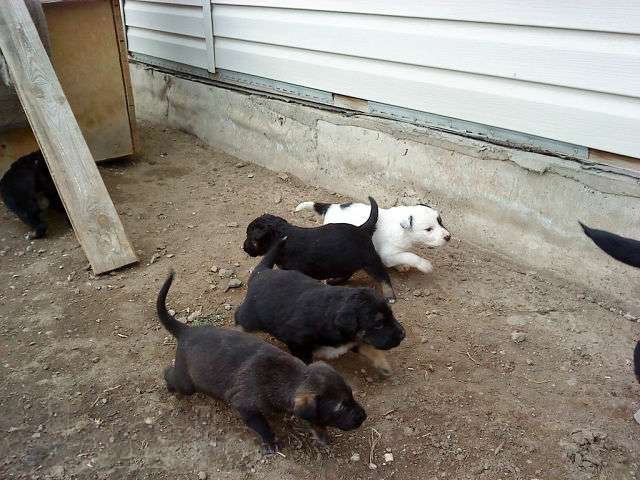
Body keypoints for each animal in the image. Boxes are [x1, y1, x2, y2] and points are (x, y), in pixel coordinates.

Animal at [158, 272, 368, 452]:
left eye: (351, 395)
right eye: (340, 407)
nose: (364, 416)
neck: (290, 377)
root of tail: (187, 331)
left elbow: (313, 420)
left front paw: (321, 434)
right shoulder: (244, 406)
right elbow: (262, 425)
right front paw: (271, 441)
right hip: (187, 383)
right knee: (170, 374)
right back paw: (169, 385)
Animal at [235, 238, 404, 376]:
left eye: (391, 315)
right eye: (378, 324)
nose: (403, 334)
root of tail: (261, 272)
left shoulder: (354, 338)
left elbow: (369, 348)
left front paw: (383, 365)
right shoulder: (298, 343)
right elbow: (305, 363)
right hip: (251, 318)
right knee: (239, 319)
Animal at [244, 197, 398, 302]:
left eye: (251, 238)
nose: (244, 248)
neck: (281, 235)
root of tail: (362, 228)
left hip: (370, 260)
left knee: (383, 276)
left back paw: (389, 295)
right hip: (344, 261)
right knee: (347, 273)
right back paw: (333, 281)